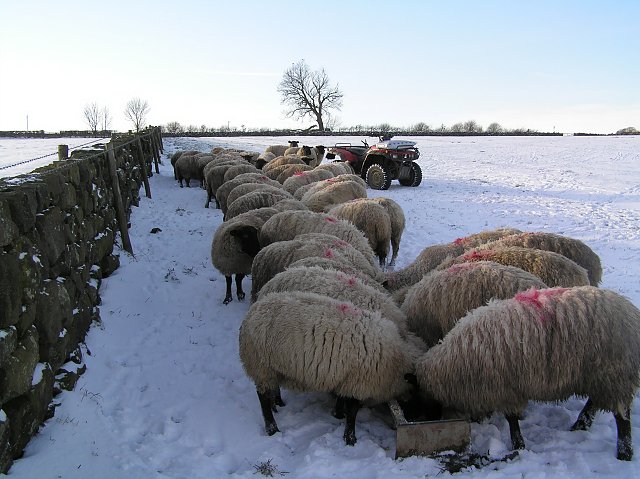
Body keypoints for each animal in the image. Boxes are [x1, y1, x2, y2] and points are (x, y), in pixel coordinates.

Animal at [238, 288, 422, 446]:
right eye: (416, 389)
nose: (416, 417)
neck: (395, 358)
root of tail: (252, 311)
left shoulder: (346, 377)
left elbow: (342, 399)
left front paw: (338, 414)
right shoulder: (358, 381)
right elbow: (353, 411)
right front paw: (350, 438)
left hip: (272, 368)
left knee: (271, 388)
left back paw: (276, 405)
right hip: (260, 365)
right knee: (262, 396)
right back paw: (272, 428)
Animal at [412, 284, 640, 462]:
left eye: (421, 395)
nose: (422, 419)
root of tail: (632, 313)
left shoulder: (506, 388)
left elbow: (512, 419)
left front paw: (518, 445)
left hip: (614, 373)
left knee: (622, 417)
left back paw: (624, 453)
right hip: (601, 377)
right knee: (595, 402)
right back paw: (580, 425)